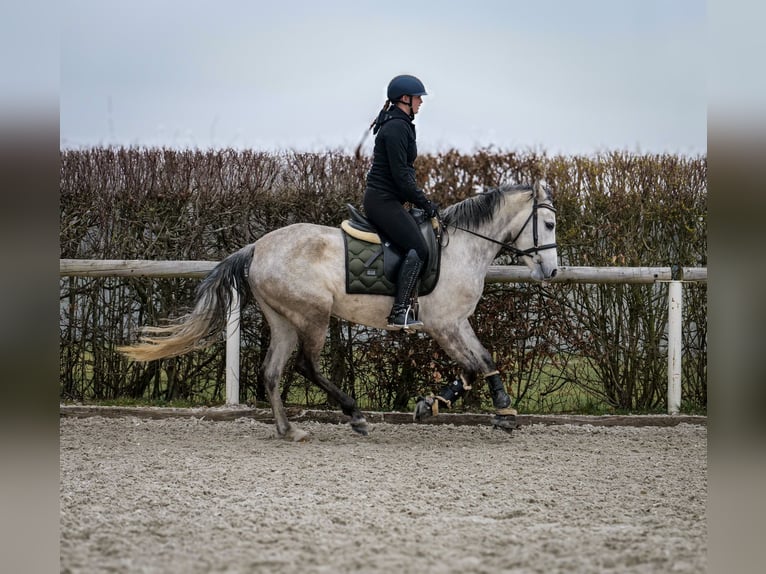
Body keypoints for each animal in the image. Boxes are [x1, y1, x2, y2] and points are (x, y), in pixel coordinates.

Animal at [121, 182, 564, 444]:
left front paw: (495, 410)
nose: (552, 272)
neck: (462, 246)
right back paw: (354, 415)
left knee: (272, 371)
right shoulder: (445, 324)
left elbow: (484, 360)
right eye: (548, 224)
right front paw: (445, 406)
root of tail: (257, 248)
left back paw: (288, 430)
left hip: (283, 320)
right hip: (313, 316)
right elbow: (474, 365)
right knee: (305, 366)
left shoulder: (458, 322)